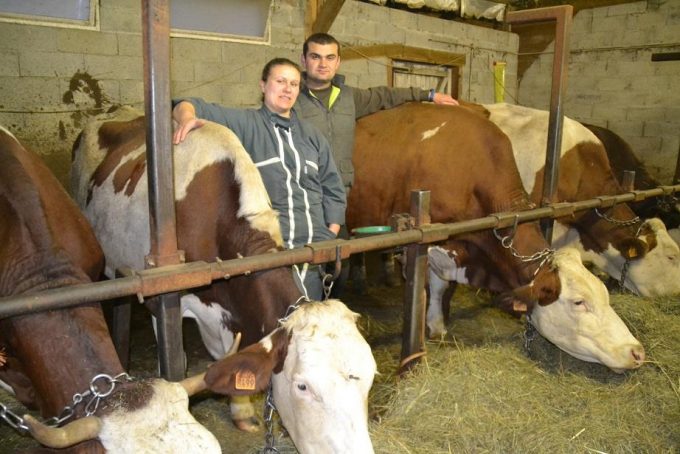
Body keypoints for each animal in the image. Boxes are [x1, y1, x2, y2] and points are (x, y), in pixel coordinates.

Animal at [348, 103, 644, 372]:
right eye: (579, 302)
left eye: (604, 293)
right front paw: (434, 328)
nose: (637, 351)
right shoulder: (428, 245)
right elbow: (434, 288)